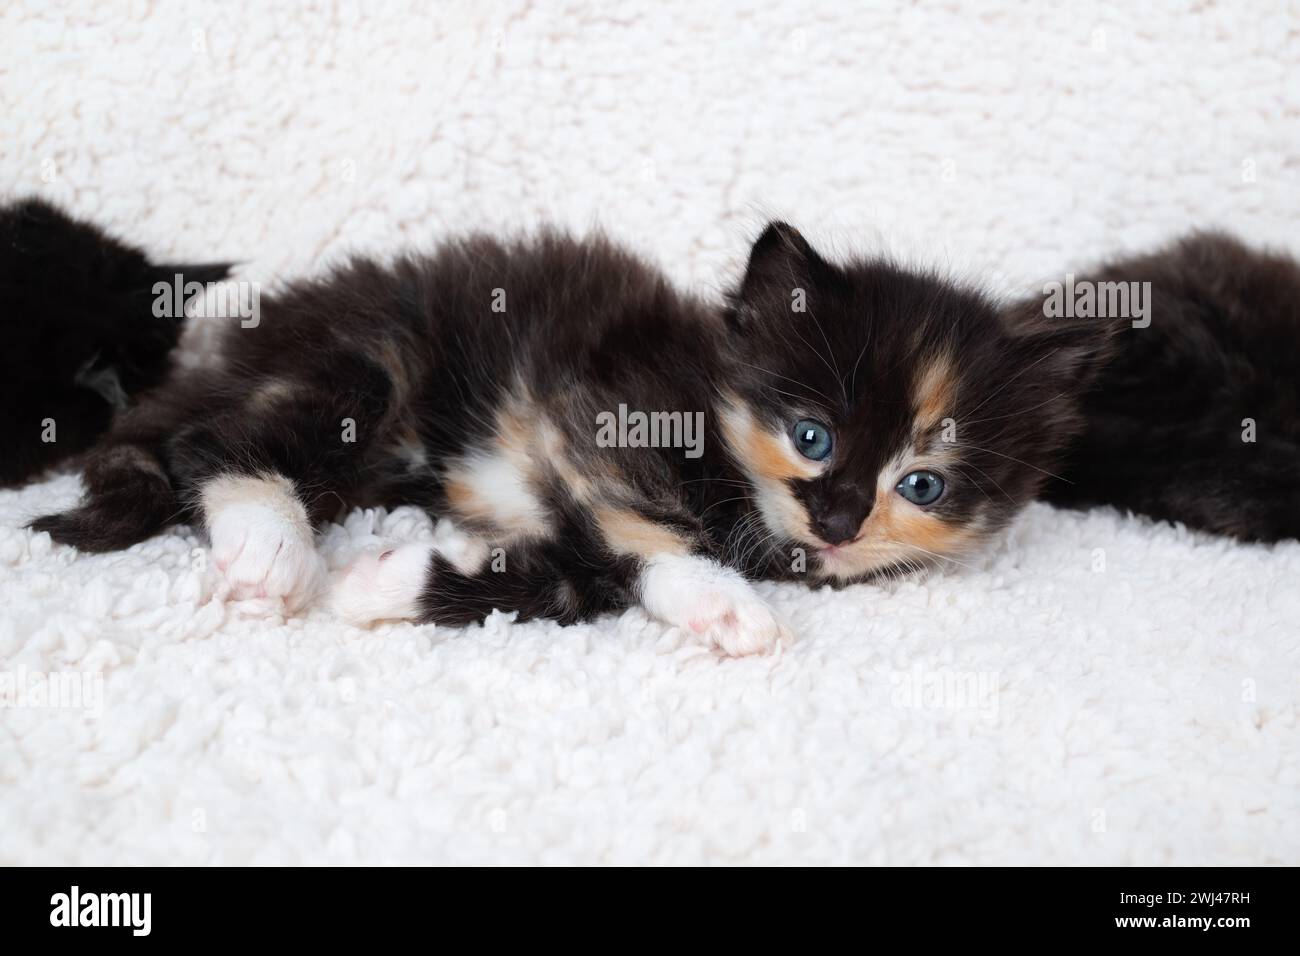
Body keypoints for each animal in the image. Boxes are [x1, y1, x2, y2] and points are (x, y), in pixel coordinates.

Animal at [35, 223, 1102, 655]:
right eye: (811, 435)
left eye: (923, 485)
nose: (839, 524)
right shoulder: (587, 410)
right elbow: (636, 539)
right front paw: (721, 600)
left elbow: (565, 581)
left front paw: (386, 581)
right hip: (368, 364)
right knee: (208, 445)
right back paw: (268, 542)